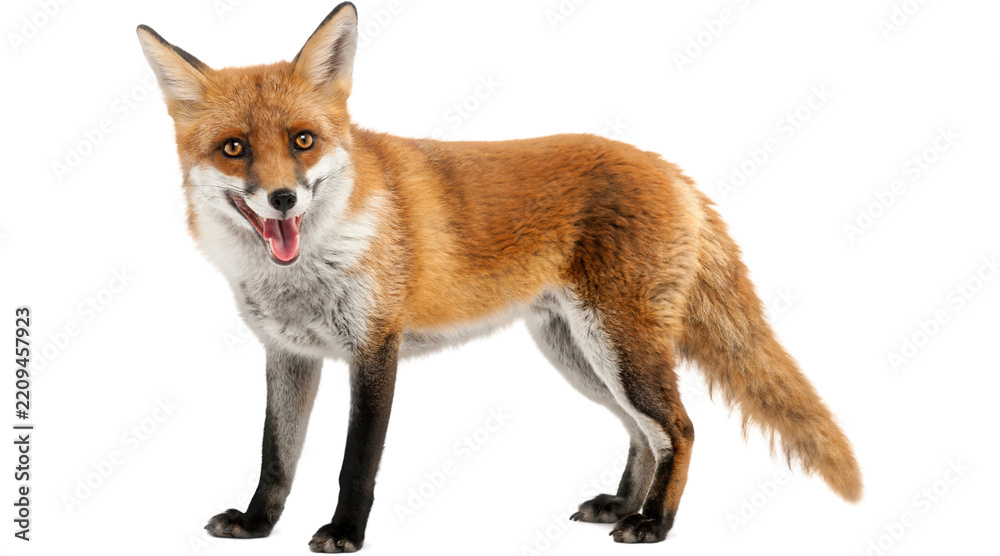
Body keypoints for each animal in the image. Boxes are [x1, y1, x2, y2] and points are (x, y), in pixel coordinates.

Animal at [137, 2, 861, 552]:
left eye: (303, 141)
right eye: (234, 149)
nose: (283, 199)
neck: (308, 267)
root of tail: (667, 167)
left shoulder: (375, 348)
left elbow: (355, 464)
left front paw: (344, 534)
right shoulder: (288, 354)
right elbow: (275, 455)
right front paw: (258, 524)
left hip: (619, 350)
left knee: (678, 429)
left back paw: (654, 522)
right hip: (579, 355)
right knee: (642, 434)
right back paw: (622, 504)